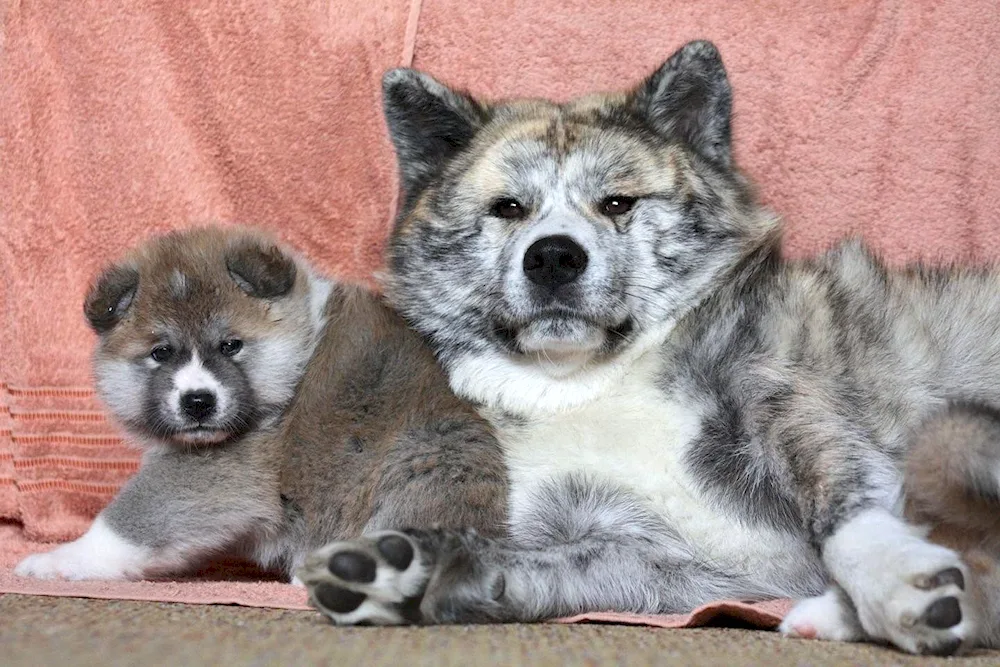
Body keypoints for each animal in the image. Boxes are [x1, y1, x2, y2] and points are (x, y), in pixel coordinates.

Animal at [11, 227, 504, 580]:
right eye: (160, 353)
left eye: (231, 345)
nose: (197, 402)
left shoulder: (218, 472)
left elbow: (125, 521)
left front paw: (59, 561)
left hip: (422, 459)